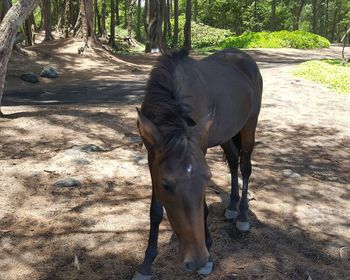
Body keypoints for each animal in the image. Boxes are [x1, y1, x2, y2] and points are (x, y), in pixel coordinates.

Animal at [134, 47, 262, 278]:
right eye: (165, 184)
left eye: (207, 179)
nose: (196, 259)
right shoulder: (152, 159)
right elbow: (155, 211)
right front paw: (146, 264)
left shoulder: (200, 149)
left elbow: (202, 207)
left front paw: (208, 255)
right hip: (225, 134)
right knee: (232, 161)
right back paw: (231, 206)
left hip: (249, 126)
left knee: (245, 167)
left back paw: (242, 217)